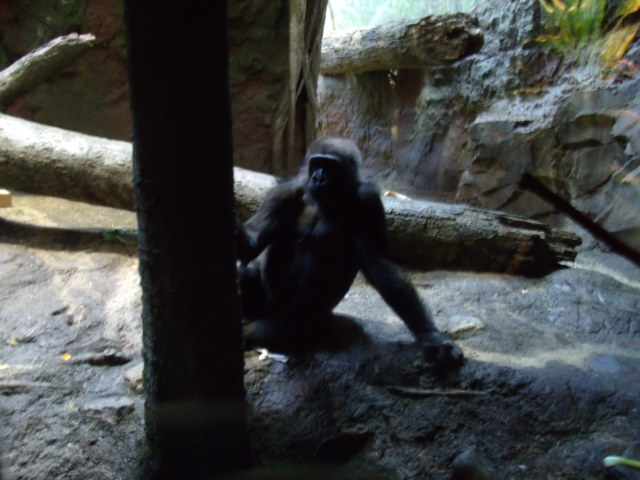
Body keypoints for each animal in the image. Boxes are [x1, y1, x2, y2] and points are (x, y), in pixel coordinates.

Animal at [236, 137, 463, 368]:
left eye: (330, 166)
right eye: (316, 164)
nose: (318, 178)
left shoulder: (368, 200)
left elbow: (379, 266)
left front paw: (430, 335)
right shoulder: (283, 192)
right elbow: (253, 242)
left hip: (310, 319)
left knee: (291, 327)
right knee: (249, 272)